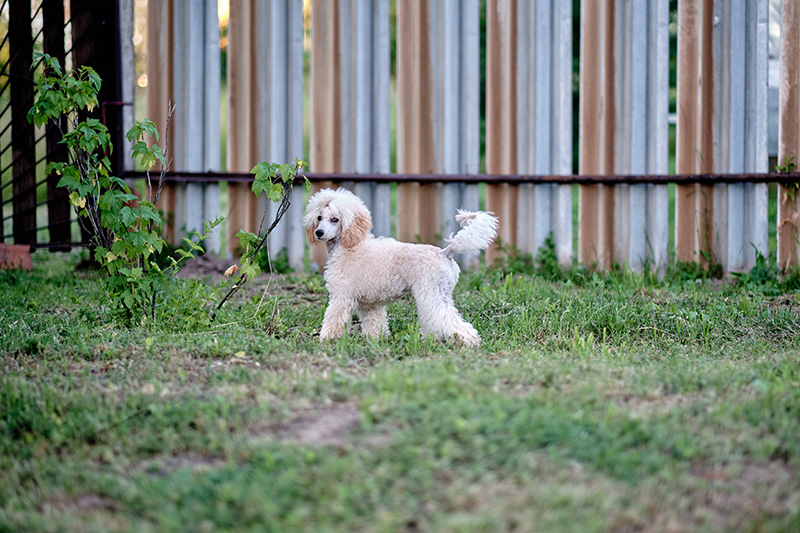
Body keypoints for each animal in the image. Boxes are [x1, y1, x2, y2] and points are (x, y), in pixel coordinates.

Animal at [304, 187, 496, 344]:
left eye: (335, 219)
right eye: (319, 218)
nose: (319, 232)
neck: (347, 246)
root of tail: (445, 252)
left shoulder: (342, 296)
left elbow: (333, 318)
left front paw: (327, 339)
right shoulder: (369, 304)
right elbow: (374, 322)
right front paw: (375, 340)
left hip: (431, 293)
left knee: (447, 318)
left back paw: (469, 341)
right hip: (441, 293)